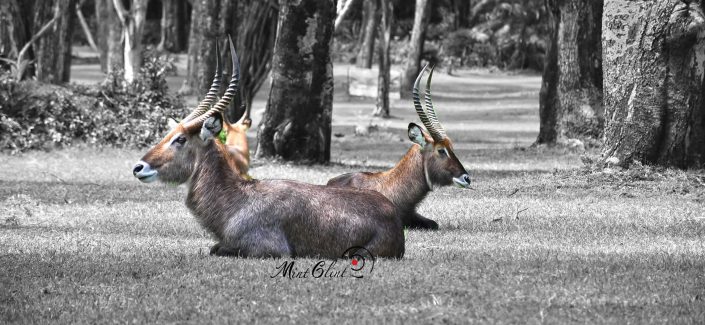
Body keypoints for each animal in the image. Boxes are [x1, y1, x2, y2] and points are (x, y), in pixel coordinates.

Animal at [134, 39, 404, 258]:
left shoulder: (269, 249)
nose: (139, 167)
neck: (238, 199)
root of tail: (393, 216)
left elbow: (217, 249)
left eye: (180, 139)